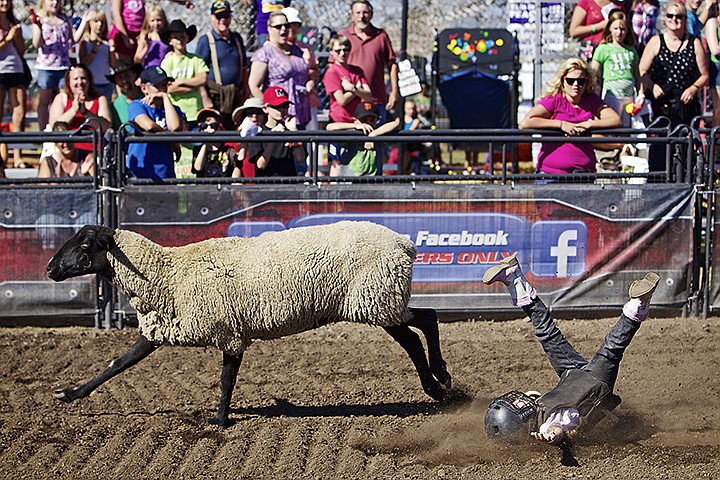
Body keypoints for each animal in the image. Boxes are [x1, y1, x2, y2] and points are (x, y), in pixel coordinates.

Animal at [46, 219, 450, 426]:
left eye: (85, 245)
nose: (50, 269)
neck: (166, 275)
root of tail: (404, 243)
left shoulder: (228, 332)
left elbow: (226, 379)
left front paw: (220, 420)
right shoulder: (163, 326)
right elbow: (118, 363)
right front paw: (70, 393)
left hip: (375, 297)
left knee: (419, 330)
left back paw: (438, 382)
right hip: (381, 300)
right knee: (423, 323)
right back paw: (438, 382)